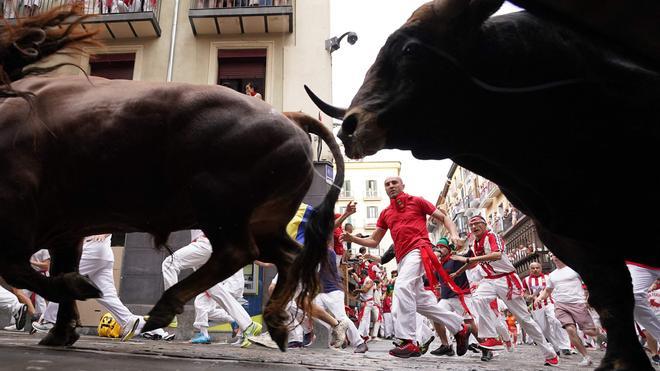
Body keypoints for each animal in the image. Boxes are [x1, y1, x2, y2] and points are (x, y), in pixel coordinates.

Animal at [2, 76, 346, 352]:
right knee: (290, 256)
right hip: (263, 224)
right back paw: (274, 323)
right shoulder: (65, 231)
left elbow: (18, 270)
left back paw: (164, 308)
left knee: (237, 252)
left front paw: (78, 289)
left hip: (218, 205)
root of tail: (289, 119)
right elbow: (53, 268)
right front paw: (61, 331)